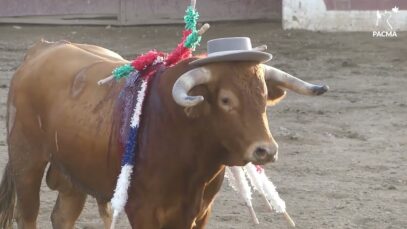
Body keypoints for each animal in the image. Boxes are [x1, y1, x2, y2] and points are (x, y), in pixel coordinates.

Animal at [0, 40, 326, 228]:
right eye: (225, 100)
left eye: (263, 96)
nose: (265, 151)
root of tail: (42, 50)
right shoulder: (144, 210)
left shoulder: (200, 211)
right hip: (26, 161)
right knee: (28, 215)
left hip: (73, 171)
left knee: (63, 215)